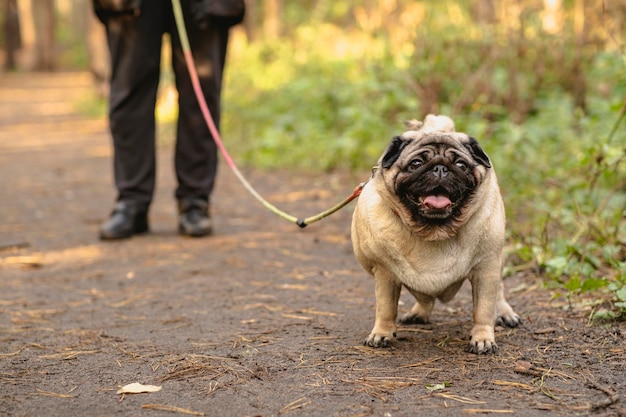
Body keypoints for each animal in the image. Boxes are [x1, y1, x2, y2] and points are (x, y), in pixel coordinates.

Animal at [348, 114, 520, 352]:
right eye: (416, 164)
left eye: (461, 165)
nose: (440, 168)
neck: (435, 231)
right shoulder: (385, 275)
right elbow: (385, 309)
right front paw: (382, 333)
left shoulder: (486, 269)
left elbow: (483, 309)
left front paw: (483, 338)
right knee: (424, 298)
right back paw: (418, 313)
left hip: (496, 260)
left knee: (499, 291)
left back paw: (504, 313)